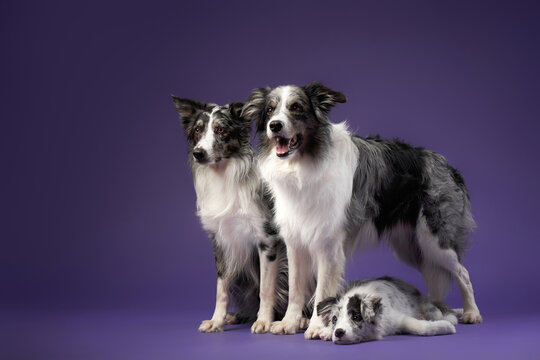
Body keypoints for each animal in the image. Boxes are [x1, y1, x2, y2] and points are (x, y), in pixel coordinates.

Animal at [173, 97, 292, 334]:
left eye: (220, 130)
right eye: (198, 130)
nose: (198, 153)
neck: (223, 176)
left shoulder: (267, 240)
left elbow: (266, 288)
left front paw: (264, 321)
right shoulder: (220, 241)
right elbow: (221, 288)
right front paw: (216, 320)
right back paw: (236, 316)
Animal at [316, 278, 460, 344]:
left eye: (356, 317)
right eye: (334, 319)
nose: (338, 332)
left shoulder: (398, 317)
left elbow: (421, 327)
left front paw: (446, 327)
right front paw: (327, 331)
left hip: (432, 310)